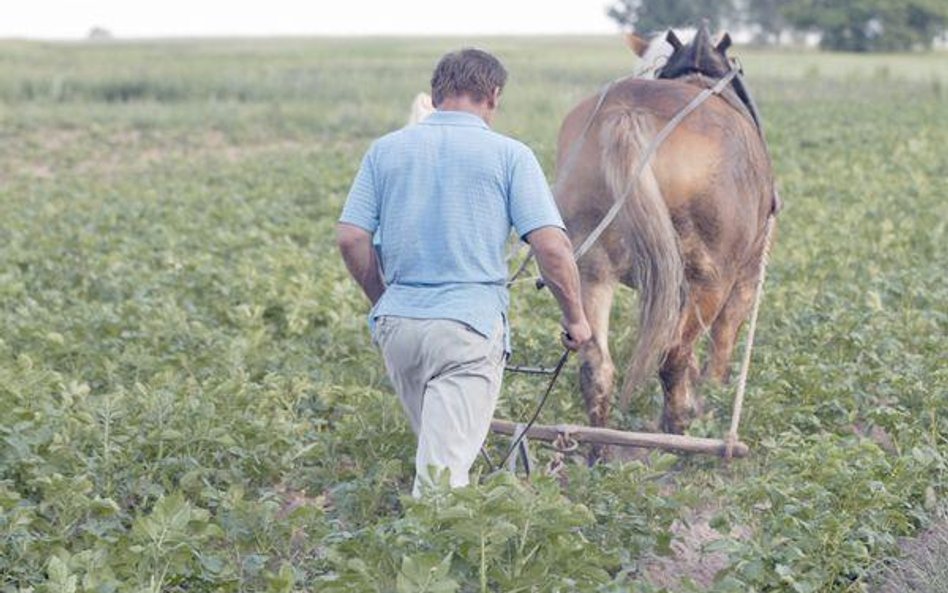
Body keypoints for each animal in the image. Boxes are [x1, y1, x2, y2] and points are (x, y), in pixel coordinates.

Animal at [556, 24, 776, 440]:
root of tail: (627, 114)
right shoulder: (747, 275)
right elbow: (722, 342)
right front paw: (711, 396)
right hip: (710, 278)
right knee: (673, 355)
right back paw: (676, 433)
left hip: (589, 268)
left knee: (597, 366)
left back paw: (599, 449)